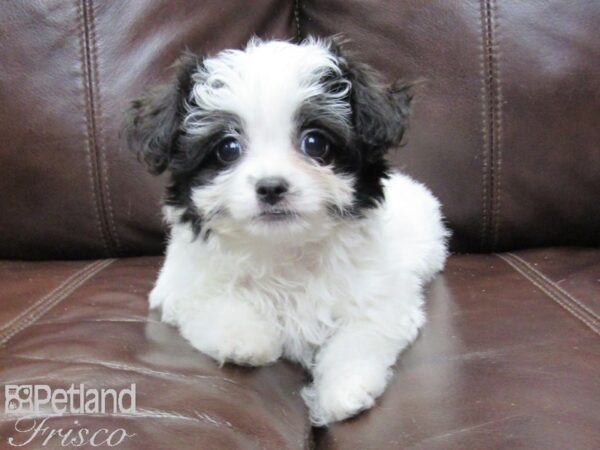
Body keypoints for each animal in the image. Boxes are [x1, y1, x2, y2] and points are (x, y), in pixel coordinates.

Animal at [125, 36, 446, 426]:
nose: (271, 187)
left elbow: (359, 337)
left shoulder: (383, 297)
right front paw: (247, 339)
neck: (284, 247)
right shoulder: (182, 286)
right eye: (227, 148)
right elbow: (213, 305)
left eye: (315, 143)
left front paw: (343, 390)